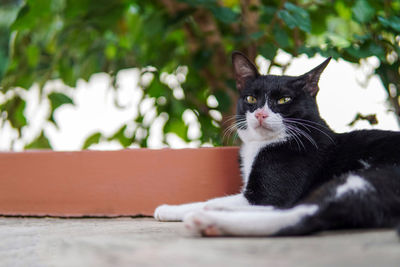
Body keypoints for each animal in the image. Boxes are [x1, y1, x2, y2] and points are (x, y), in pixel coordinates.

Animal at [153, 51, 400, 238]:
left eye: (284, 100)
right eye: (251, 99)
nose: (261, 113)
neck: (262, 145)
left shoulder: (268, 193)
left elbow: (269, 201)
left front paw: (171, 208)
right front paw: (171, 210)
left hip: (370, 176)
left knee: (303, 212)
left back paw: (208, 217)